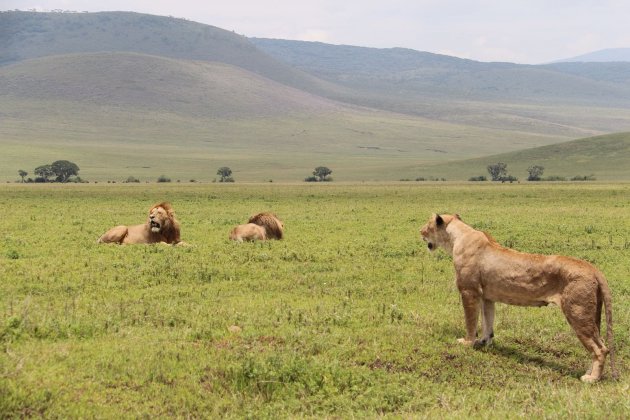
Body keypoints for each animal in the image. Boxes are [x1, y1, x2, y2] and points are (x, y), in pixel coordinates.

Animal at [422, 215, 620, 382]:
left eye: (428, 225)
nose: (420, 232)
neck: (457, 237)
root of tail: (593, 269)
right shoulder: (487, 297)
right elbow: (488, 322)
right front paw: (484, 342)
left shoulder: (469, 291)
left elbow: (470, 321)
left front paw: (467, 342)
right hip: (592, 313)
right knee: (599, 345)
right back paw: (589, 372)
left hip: (577, 312)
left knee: (601, 349)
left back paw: (591, 379)